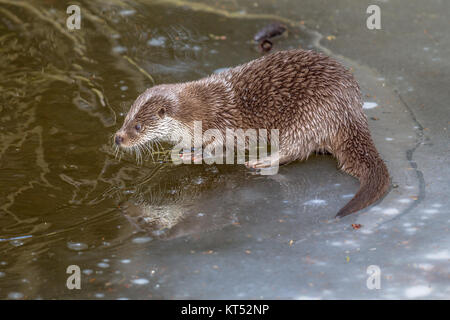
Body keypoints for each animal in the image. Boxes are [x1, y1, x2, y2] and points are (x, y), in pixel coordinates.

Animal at [115, 49, 390, 218]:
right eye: (125, 118)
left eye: (138, 126)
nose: (118, 138)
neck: (198, 113)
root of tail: (351, 108)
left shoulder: (224, 124)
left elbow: (222, 146)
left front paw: (196, 155)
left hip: (309, 114)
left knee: (297, 148)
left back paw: (262, 161)